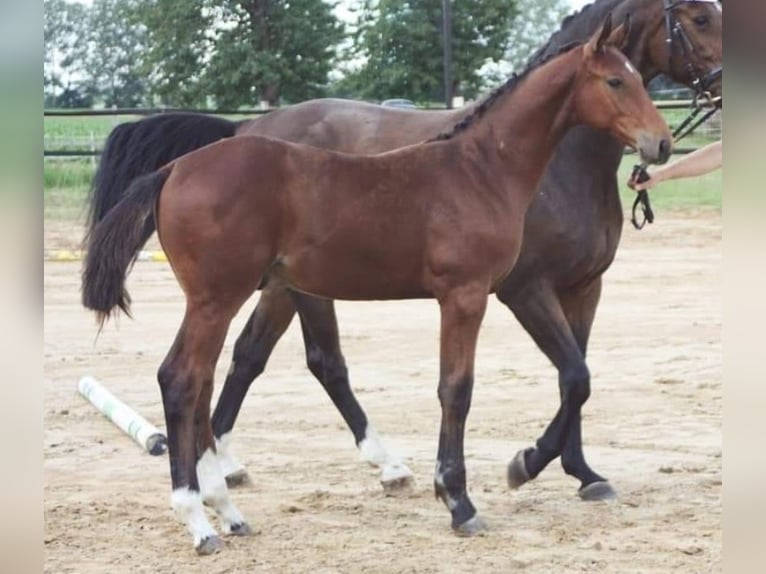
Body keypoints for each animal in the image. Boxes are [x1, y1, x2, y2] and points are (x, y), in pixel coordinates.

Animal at [85, 0, 728, 500]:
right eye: (700, 16)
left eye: (642, 78)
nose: (661, 143)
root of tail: (216, 146)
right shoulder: (509, 290)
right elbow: (539, 379)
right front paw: (516, 469)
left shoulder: (581, 287)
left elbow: (578, 375)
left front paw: (579, 470)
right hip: (254, 291)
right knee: (253, 366)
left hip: (279, 286)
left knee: (256, 360)